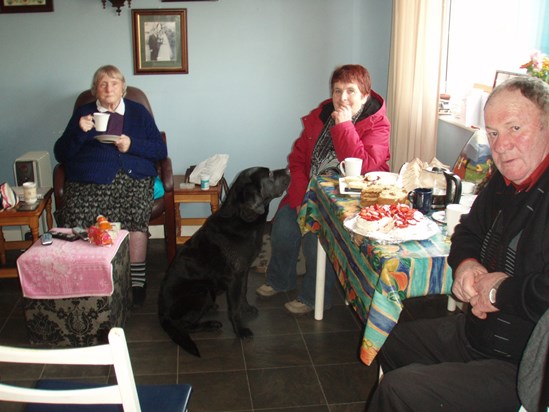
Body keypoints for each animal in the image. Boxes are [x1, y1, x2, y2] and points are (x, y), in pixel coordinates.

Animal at [156, 166, 288, 356]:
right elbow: (234, 308)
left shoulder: (243, 271)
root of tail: (162, 315)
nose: (288, 169)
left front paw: (247, 308)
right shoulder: (234, 278)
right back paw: (211, 324)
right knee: (185, 325)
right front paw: (241, 331)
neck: (243, 218)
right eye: (269, 174)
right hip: (201, 290)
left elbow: (243, 293)